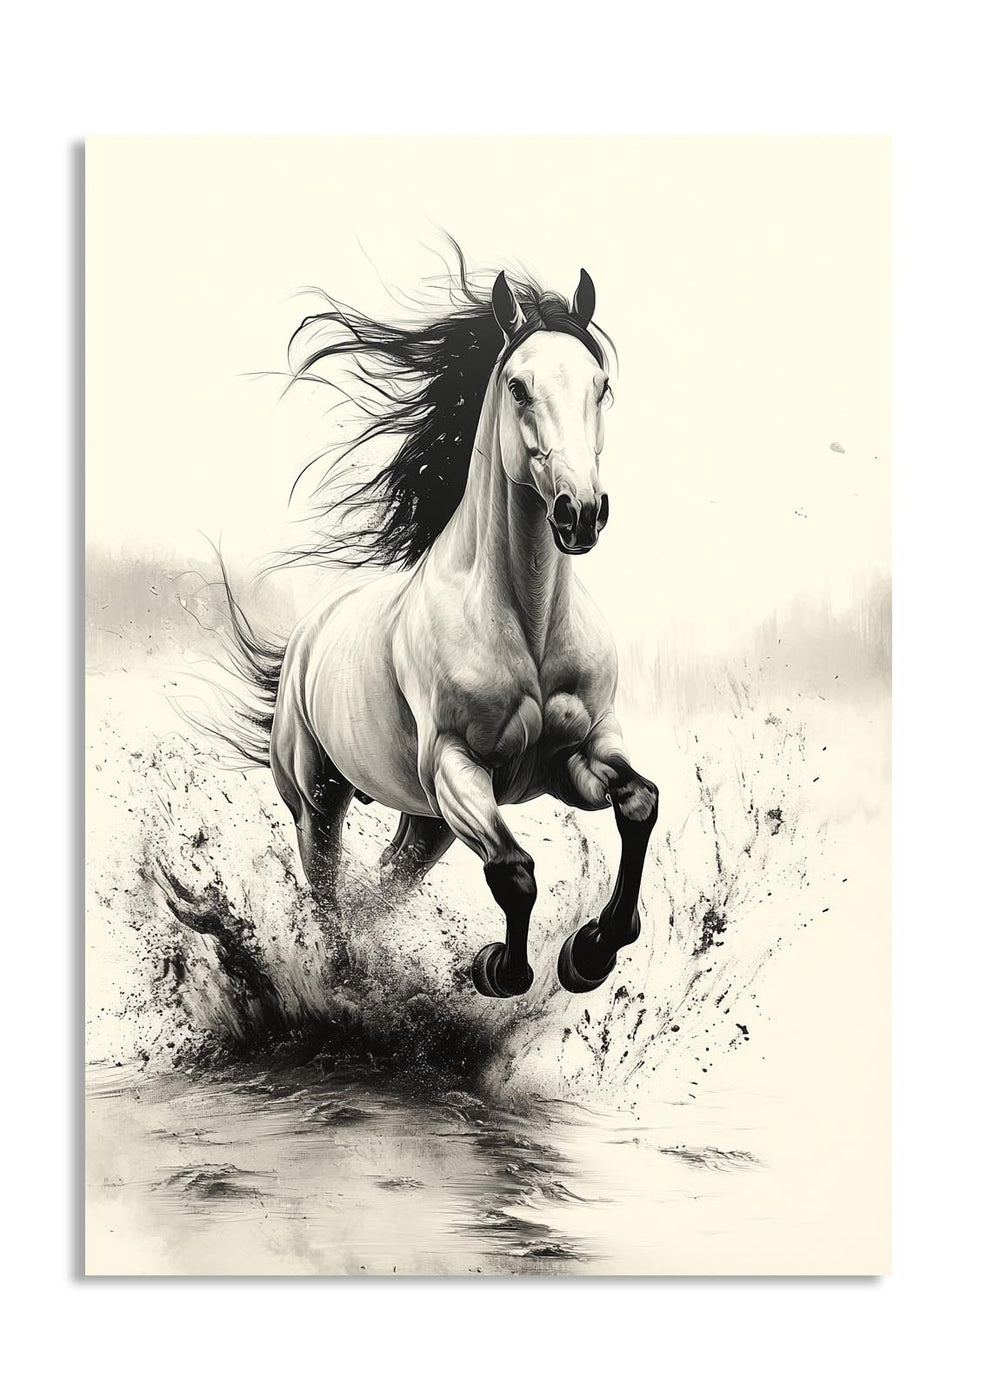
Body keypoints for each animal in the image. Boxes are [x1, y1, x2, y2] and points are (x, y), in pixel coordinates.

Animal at [218, 254, 658, 999]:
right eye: (518, 386)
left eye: (600, 386)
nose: (579, 513)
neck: (527, 627)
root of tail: (308, 636)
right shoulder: (458, 766)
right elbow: (514, 871)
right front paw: (496, 968)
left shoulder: (581, 751)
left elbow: (639, 802)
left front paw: (591, 953)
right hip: (320, 801)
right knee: (331, 896)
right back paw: (350, 985)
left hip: (426, 824)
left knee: (380, 886)